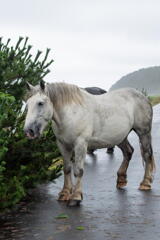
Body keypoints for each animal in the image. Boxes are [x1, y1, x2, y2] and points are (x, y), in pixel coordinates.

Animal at [23, 82, 155, 206]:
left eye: (40, 103)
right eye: (27, 104)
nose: (29, 131)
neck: (71, 114)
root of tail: (142, 96)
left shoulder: (80, 144)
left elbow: (78, 170)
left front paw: (76, 197)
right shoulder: (63, 145)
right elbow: (67, 169)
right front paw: (64, 193)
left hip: (143, 132)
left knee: (147, 154)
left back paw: (146, 183)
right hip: (120, 137)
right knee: (128, 152)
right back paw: (121, 180)